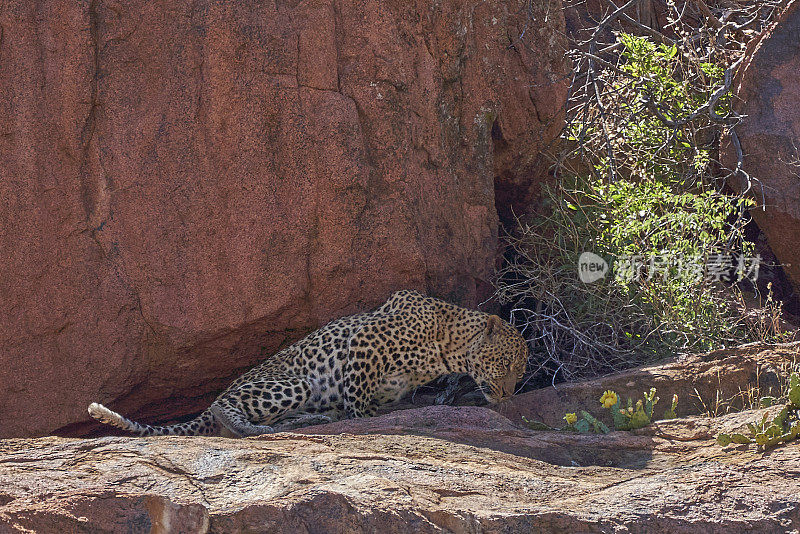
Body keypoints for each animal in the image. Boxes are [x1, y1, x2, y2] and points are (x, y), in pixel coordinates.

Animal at [87, 288, 528, 440]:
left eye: (521, 373)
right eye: (505, 362)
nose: (508, 396)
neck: (448, 345)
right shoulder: (363, 344)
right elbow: (358, 400)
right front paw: (364, 417)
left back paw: (310, 420)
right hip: (293, 383)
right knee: (221, 408)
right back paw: (255, 428)